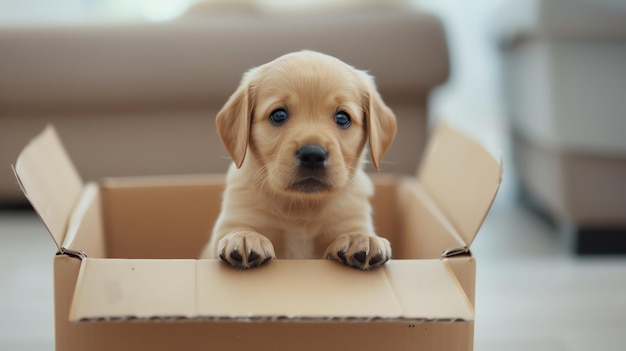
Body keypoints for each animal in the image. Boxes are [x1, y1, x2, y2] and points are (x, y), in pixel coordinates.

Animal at [200, 50, 394, 270]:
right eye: (278, 115)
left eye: (342, 118)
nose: (313, 155)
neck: (302, 207)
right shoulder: (234, 218)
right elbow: (237, 228)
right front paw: (244, 236)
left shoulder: (351, 217)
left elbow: (352, 229)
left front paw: (360, 237)